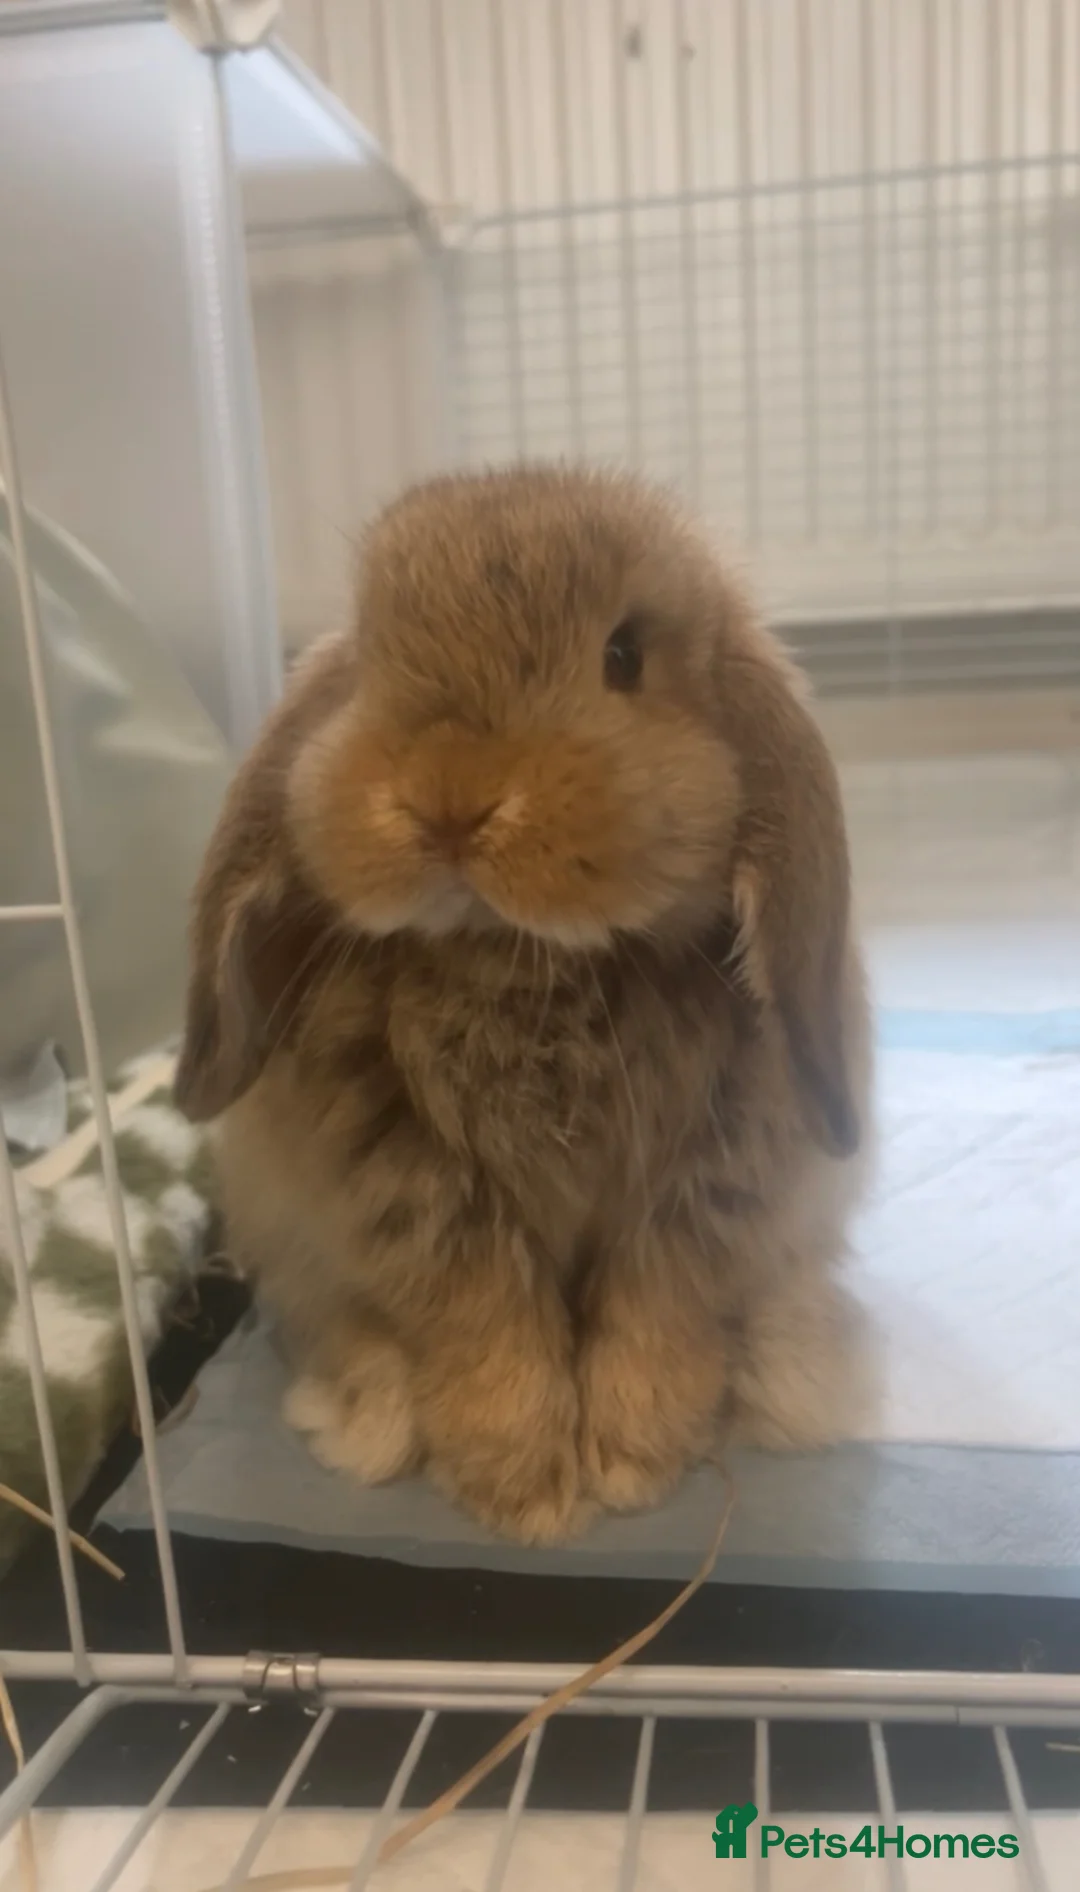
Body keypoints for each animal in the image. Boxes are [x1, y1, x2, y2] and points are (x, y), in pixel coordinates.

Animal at [174, 465, 874, 1546]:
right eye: (369, 656)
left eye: (624, 655)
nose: (447, 800)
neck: (525, 957)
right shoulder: (410, 1188)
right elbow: (486, 1318)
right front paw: (526, 1492)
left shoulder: (710, 1183)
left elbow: (658, 1303)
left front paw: (630, 1461)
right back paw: (369, 1409)